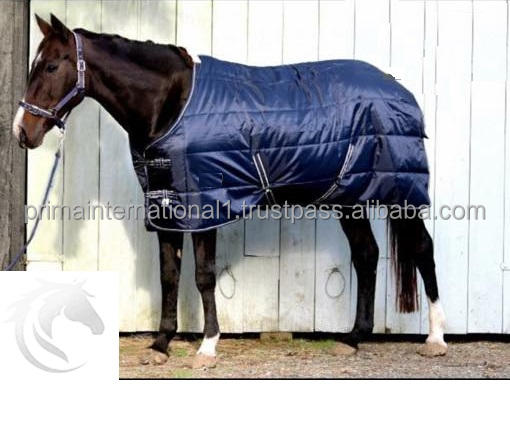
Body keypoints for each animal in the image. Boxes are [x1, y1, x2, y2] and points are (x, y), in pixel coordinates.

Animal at [13, 14, 447, 369]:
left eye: (50, 65)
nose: (22, 131)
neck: (171, 103)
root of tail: (398, 88)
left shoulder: (206, 206)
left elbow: (203, 275)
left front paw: (207, 347)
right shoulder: (166, 209)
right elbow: (169, 276)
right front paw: (160, 345)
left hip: (402, 196)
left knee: (422, 249)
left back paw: (436, 339)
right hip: (348, 200)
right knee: (367, 256)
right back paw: (353, 339)